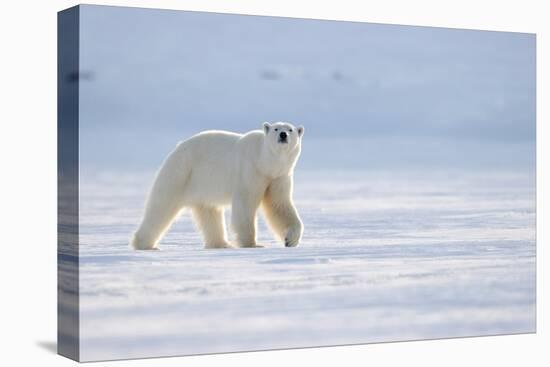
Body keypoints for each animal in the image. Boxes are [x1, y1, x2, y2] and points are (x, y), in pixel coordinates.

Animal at [132, 123, 308, 250]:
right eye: (276, 128)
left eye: (290, 129)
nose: (283, 135)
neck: (264, 162)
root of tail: (177, 148)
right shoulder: (250, 170)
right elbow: (245, 205)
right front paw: (252, 244)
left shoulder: (278, 177)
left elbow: (279, 205)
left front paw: (290, 240)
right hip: (180, 173)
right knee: (161, 207)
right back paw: (144, 245)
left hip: (202, 186)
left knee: (210, 213)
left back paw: (221, 244)